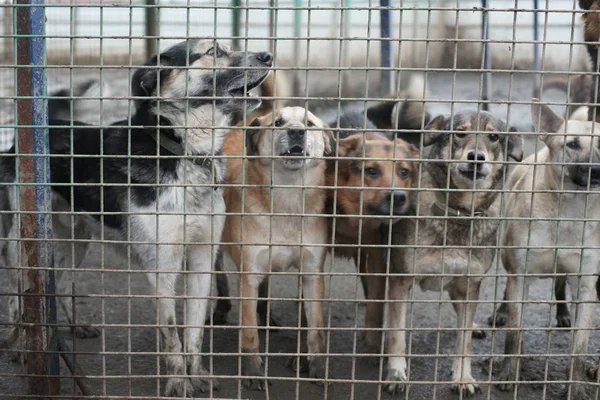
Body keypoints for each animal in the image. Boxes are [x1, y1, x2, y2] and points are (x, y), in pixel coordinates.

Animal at [0, 38, 272, 396]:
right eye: (213, 51)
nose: (268, 55)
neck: (183, 152)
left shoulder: (202, 258)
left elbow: (194, 331)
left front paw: (197, 374)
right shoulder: (162, 268)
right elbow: (171, 336)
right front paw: (178, 383)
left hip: (75, 240)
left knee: (57, 280)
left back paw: (73, 327)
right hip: (23, 241)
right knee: (20, 294)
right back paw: (20, 345)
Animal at [218, 105, 330, 388]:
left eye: (309, 124)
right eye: (278, 123)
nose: (296, 132)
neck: (286, 201)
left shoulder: (312, 273)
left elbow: (315, 328)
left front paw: (316, 366)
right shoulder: (248, 275)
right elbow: (249, 333)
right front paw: (253, 372)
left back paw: (266, 315)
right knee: (218, 272)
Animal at [326, 132, 420, 354]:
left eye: (404, 172)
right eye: (371, 171)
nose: (398, 198)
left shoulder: (378, 256)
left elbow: (376, 307)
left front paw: (372, 347)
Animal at [494, 101, 600, 400]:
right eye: (572, 144)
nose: (598, 170)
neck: (569, 211)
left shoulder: (586, 286)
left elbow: (579, 348)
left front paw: (576, 387)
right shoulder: (520, 275)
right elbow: (515, 333)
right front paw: (509, 374)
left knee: (560, 283)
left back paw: (563, 312)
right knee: (506, 286)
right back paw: (501, 311)